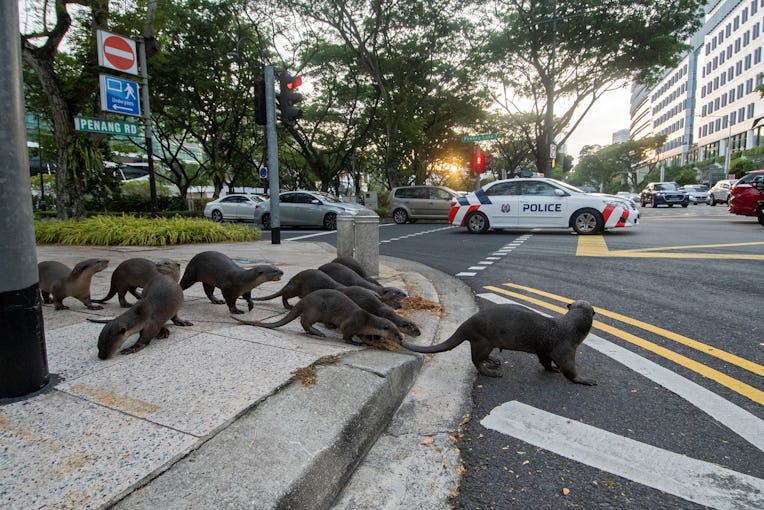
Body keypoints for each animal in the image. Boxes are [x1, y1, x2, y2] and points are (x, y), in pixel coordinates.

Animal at [232, 289, 403, 345]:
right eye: (395, 332)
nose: (401, 339)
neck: (367, 321)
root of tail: (304, 300)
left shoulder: (361, 329)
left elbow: (364, 337)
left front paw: (374, 343)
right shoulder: (351, 323)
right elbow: (346, 334)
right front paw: (354, 343)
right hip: (315, 310)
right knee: (304, 321)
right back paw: (319, 333)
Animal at [400, 300, 597, 385]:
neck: (569, 328)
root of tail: (467, 323)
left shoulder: (544, 350)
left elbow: (545, 361)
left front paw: (552, 369)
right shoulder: (565, 348)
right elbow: (568, 368)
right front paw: (584, 379)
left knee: (481, 358)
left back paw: (494, 361)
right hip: (483, 341)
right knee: (476, 360)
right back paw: (491, 372)